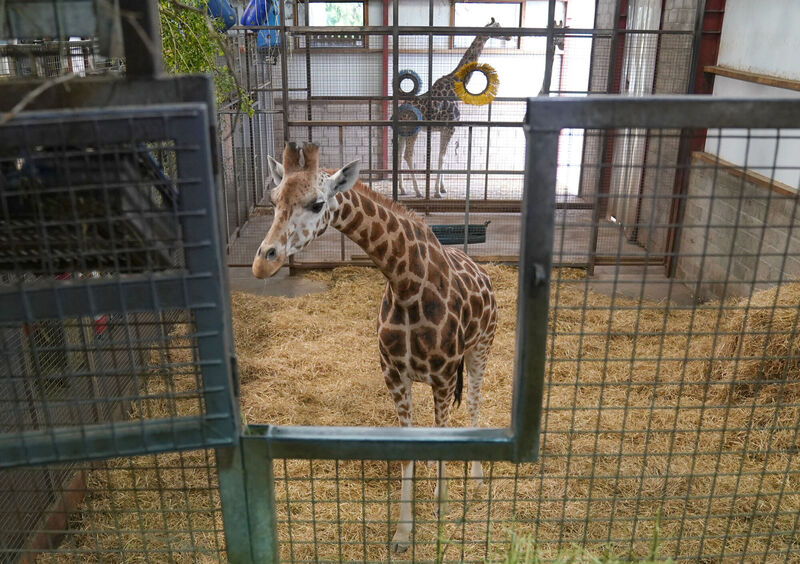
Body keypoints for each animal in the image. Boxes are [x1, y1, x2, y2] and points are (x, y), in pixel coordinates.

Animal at [252, 142, 497, 553]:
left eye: (317, 204)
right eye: (273, 199)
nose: (262, 264)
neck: (406, 284)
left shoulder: (445, 375)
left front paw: (443, 508)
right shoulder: (395, 374)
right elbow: (407, 451)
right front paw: (402, 533)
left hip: (480, 349)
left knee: (476, 403)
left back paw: (477, 478)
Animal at [397, 17, 511, 198]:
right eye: (499, 26)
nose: (510, 37)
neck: (455, 85)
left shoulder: (445, 128)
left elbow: (442, 156)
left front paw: (442, 188)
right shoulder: (450, 126)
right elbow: (442, 157)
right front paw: (437, 192)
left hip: (402, 132)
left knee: (399, 154)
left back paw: (402, 189)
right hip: (412, 131)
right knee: (408, 155)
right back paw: (418, 191)